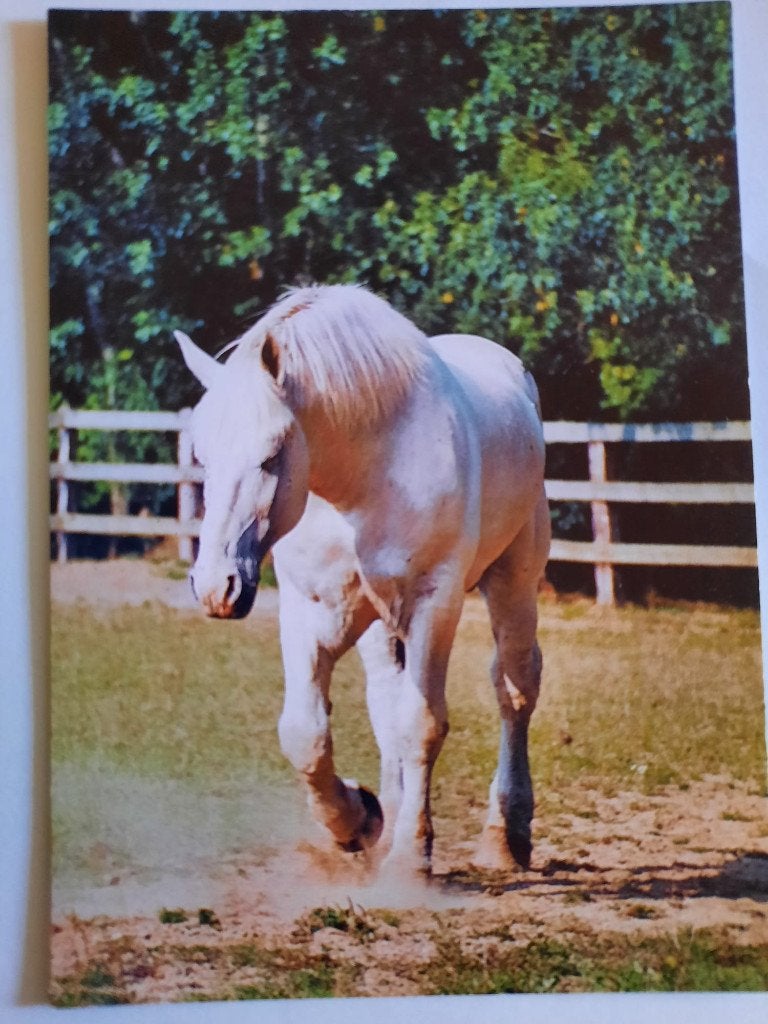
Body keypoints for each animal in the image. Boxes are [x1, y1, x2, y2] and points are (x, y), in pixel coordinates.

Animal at [175, 284, 550, 879]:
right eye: (202, 456)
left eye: (272, 455)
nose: (216, 587)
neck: (364, 475)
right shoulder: (312, 609)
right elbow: (305, 732)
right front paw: (358, 820)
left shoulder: (434, 604)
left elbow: (422, 724)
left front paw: (410, 860)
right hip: (380, 623)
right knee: (386, 702)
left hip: (514, 582)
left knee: (514, 688)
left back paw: (503, 839)